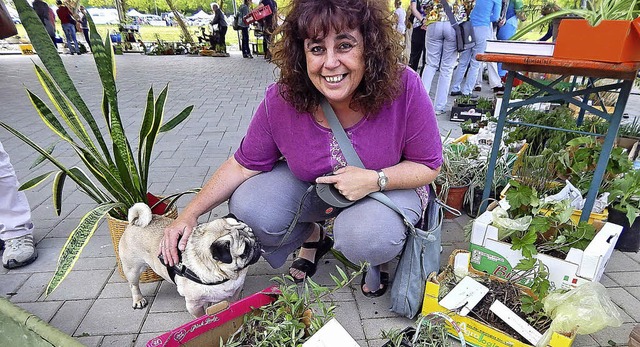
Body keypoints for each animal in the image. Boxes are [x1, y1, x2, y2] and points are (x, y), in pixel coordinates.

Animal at [119, 204, 262, 318]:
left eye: (254, 235)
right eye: (244, 251)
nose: (256, 245)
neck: (224, 276)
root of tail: (134, 222)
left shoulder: (235, 292)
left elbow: (234, 303)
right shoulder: (194, 305)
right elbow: (201, 316)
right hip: (132, 269)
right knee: (134, 285)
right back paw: (138, 300)